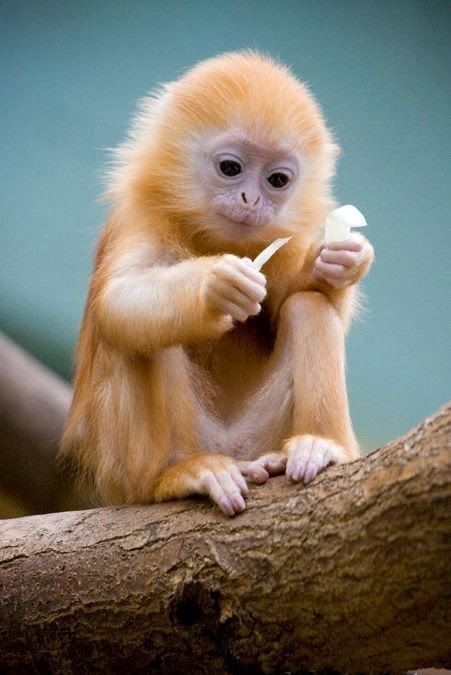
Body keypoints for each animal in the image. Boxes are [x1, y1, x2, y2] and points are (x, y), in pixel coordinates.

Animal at [62, 51, 374, 516]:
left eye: (277, 180)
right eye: (231, 168)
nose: (251, 200)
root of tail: (234, 449)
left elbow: (299, 296)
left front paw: (341, 261)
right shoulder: (140, 220)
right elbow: (119, 302)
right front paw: (215, 287)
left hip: (262, 434)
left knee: (308, 306)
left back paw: (320, 445)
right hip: (125, 471)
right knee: (146, 335)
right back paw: (182, 472)